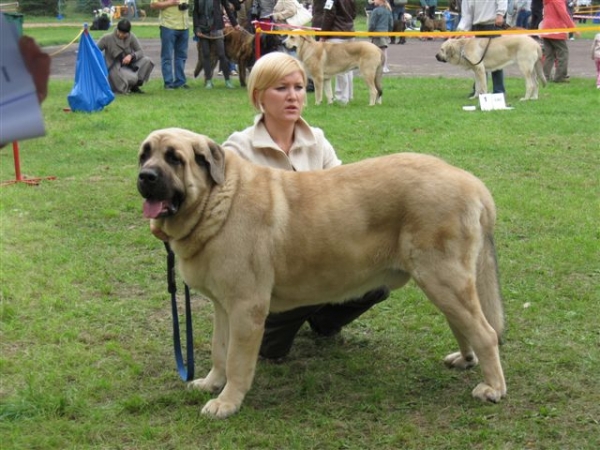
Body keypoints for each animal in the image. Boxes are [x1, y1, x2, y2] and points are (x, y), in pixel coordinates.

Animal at [138, 126, 508, 418]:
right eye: (144, 155)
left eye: (174, 158)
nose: (145, 177)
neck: (215, 200)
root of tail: (472, 183)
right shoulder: (223, 307)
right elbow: (219, 349)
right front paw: (211, 383)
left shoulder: (246, 307)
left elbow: (236, 361)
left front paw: (227, 402)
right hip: (444, 283)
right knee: (465, 324)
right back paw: (466, 359)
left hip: (443, 279)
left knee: (485, 332)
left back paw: (493, 388)